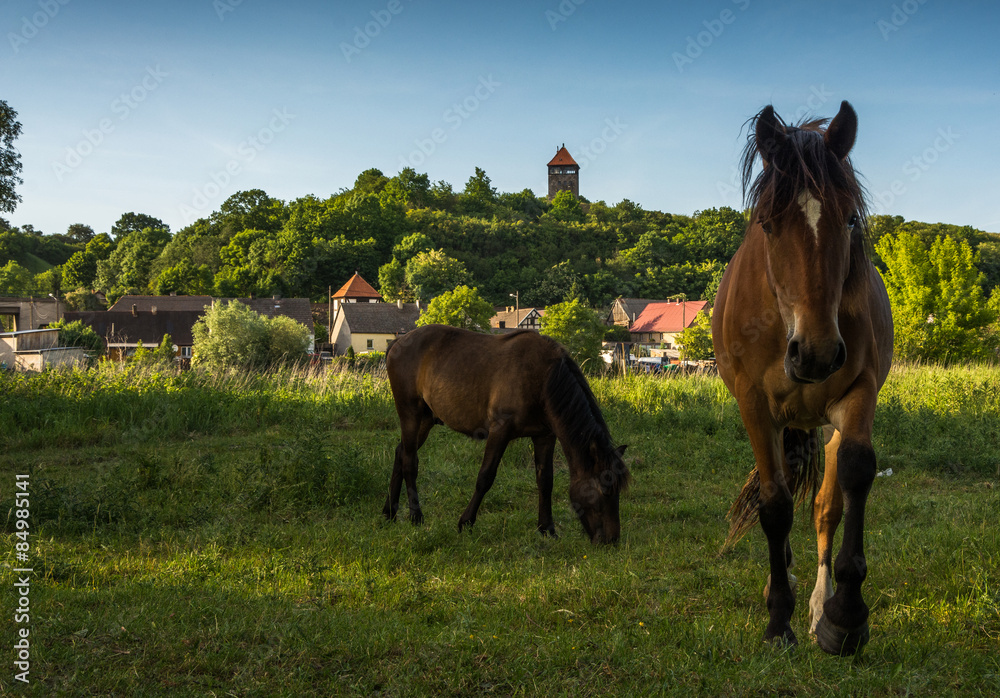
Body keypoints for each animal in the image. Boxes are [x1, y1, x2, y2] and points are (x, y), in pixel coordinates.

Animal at [383, 324, 630, 544]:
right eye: (605, 491)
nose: (612, 540)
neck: (543, 379)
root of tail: (398, 342)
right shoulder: (499, 431)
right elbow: (485, 477)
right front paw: (466, 522)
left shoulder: (545, 436)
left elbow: (545, 481)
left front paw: (547, 528)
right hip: (410, 413)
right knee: (410, 461)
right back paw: (415, 516)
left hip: (426, 419)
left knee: (400, 452)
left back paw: (389, 512)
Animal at [712, 101, 893, 655]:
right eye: (767, 224)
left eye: (850, 218)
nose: (814, 354)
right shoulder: (755, 405)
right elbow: (774, 505)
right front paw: (778, 620)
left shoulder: (857, 394)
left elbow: (852, 477)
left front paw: (846, 616)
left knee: (822, 506)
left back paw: (817, 603)